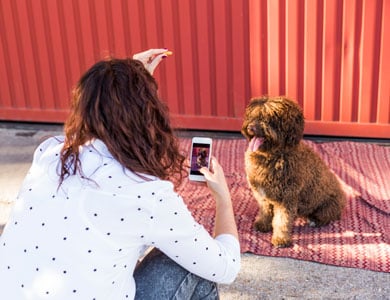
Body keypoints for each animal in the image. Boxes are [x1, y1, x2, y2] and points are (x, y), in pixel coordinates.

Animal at [242, 96, 346, 248]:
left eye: (270, 119)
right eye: (253, 116)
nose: (250, 127)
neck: (272, 156)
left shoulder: (287, 198)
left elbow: (282, 221)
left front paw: (280, 239)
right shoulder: (263, 195)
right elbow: (265, 211)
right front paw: (263, 224)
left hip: (328, 206)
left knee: (326, 217)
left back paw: (314, 221)